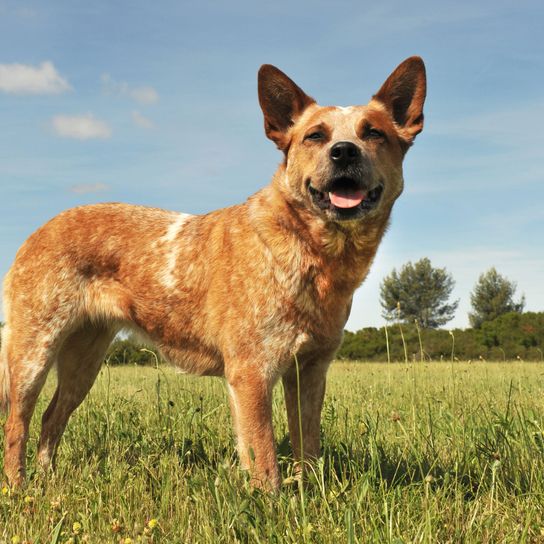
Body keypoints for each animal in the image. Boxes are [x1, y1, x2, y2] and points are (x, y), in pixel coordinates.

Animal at [0, 57, 424, 490]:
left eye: (373, 133)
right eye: (315, 136)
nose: (343, 152)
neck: (313, 251)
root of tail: (37, 232)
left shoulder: (310, 371)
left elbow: (308, 447)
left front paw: (310, 495)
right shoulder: (252, 372)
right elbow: (264, 460)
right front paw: (270, 503)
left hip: (84, 360)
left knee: (51, 419)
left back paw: (48, 480)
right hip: (33, 353)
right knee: (17, 425)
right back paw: (20, 490)